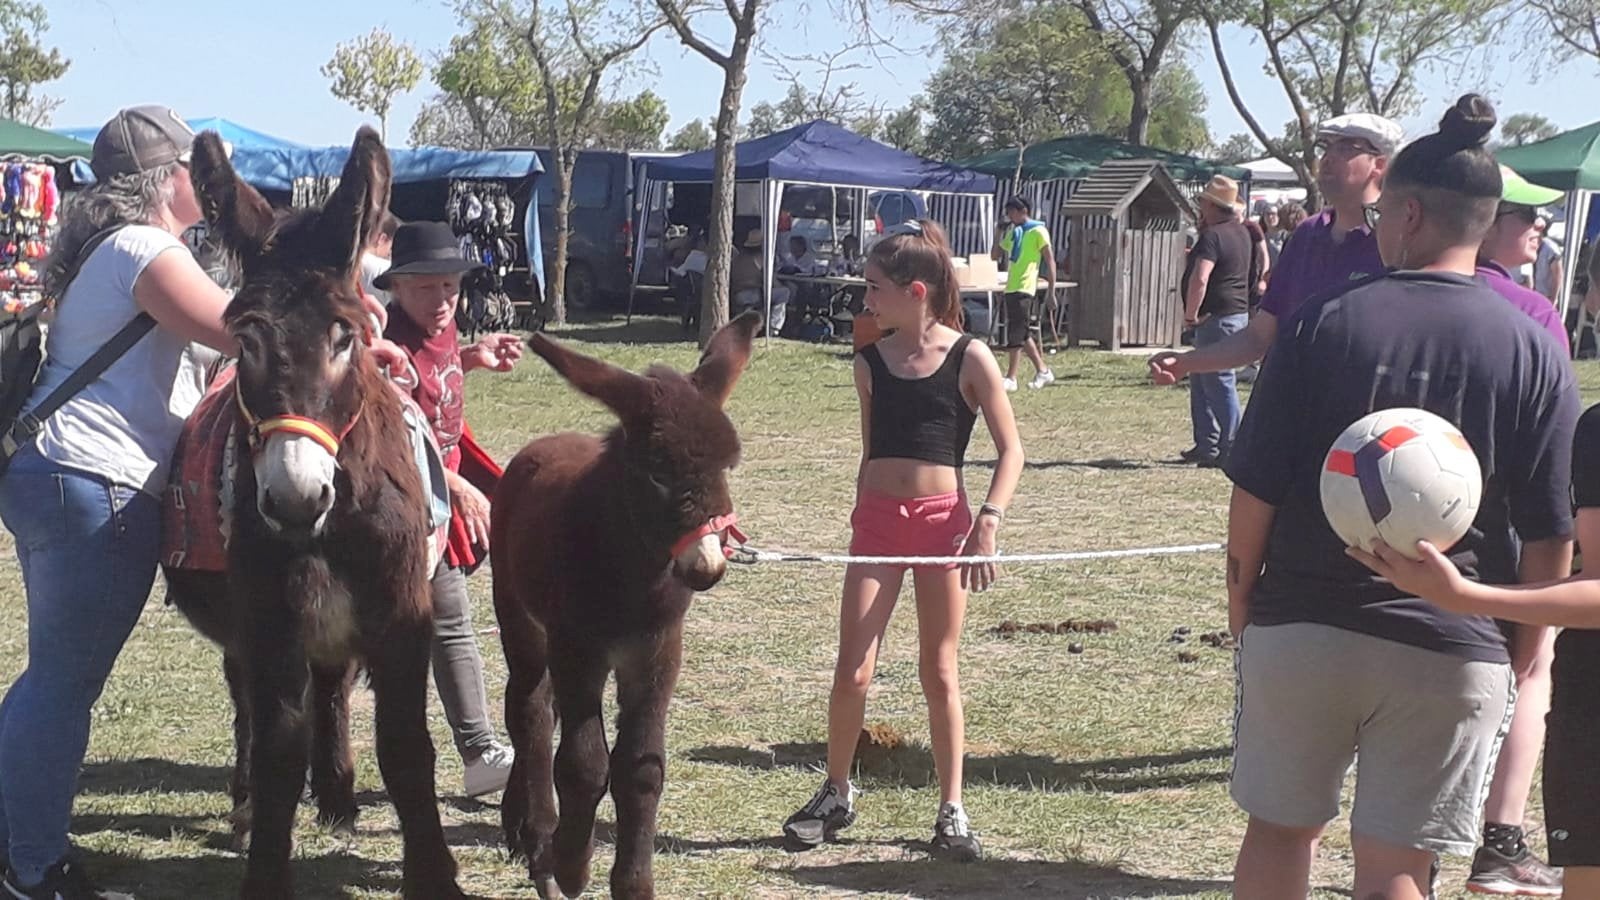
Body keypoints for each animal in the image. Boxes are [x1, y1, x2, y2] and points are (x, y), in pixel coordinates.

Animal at [162, 129, 460, 890]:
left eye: (344, 337)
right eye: (245, 340)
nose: (297, 500)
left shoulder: (400, 617)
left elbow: (407, 747)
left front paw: (433, 874)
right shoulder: (267, 622)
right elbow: (275, 748)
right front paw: (265, 867)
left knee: (332, 686)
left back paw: (337, 793)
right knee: (247, 703)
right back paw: (252, 806)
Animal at [492, 310, 761, 896]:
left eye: (729, 465)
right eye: (658, 471)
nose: (707, 566)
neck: (632, 578)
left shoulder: (656, 652)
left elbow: (641, 769)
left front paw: (633, 883)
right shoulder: (580, 650)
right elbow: (583, 763)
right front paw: (571, 866)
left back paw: (519, 825)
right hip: (520, 618)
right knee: (529, 712)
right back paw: (539, 838)